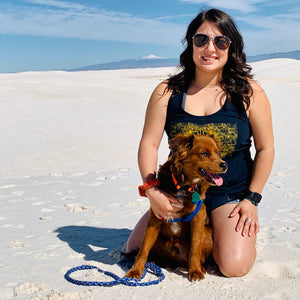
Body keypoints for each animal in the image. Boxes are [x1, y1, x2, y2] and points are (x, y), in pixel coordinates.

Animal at [125, 135, 227, 280]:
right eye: (204, 153)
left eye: (218, 153)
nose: (225, 165)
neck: (183, 186)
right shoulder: (155, 216)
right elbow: (143, 248)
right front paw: (135, 270)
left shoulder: (199, 216)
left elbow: (195, 248)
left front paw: (195, 271)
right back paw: (153, 261)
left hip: (207, 232)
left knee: (199, 256)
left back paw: (200, 267)